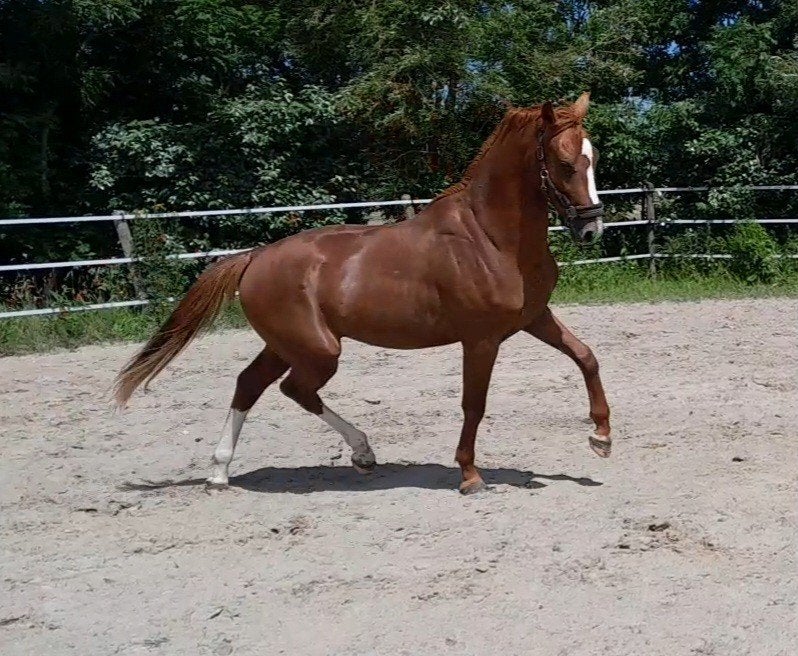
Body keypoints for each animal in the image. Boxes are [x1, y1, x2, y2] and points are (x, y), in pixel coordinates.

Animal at [114, 92, 612, 495]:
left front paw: (601, 438)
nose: (592, 229)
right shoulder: (480, 339)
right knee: (293, 389)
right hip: (317, 350)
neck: (490, 239)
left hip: (288, 345)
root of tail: (254, 257)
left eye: (593, 157)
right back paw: (359, 453)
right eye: (565, 162)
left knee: (250, 384)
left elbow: (586, 357)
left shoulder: (534, 318)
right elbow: (474, 404)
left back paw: (222, 472)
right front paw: (470, 477)